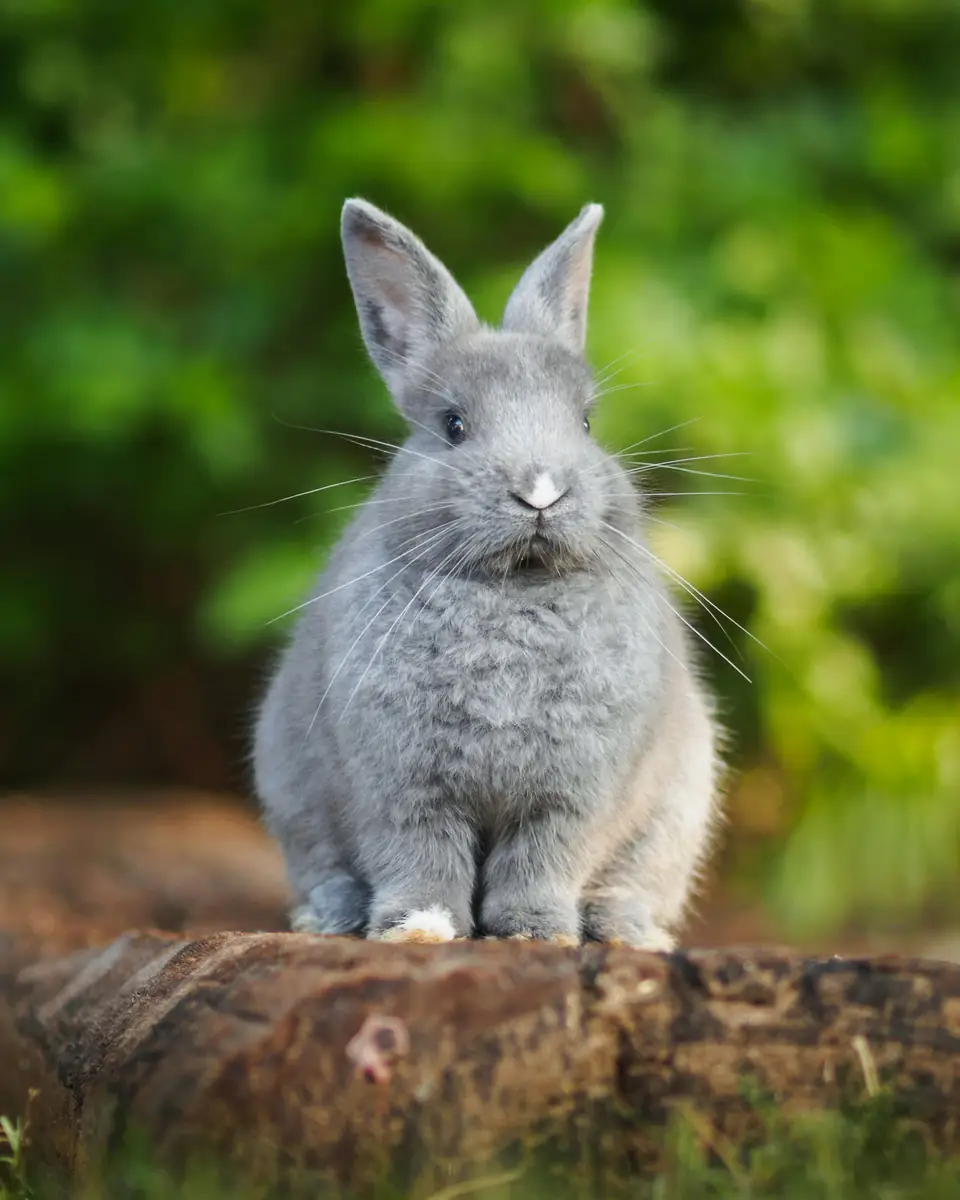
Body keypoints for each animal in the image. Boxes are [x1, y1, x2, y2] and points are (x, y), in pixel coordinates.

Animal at [254, 198, 721, 949]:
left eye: (586, 423)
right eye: (453, 425)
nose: (540, 490)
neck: (514, 589)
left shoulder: (572, 796)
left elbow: (542, 859)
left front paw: (536, 932)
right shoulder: (401, 787)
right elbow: (419, 856)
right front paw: (419, 928)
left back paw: (628, 932)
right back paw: (328, 918)